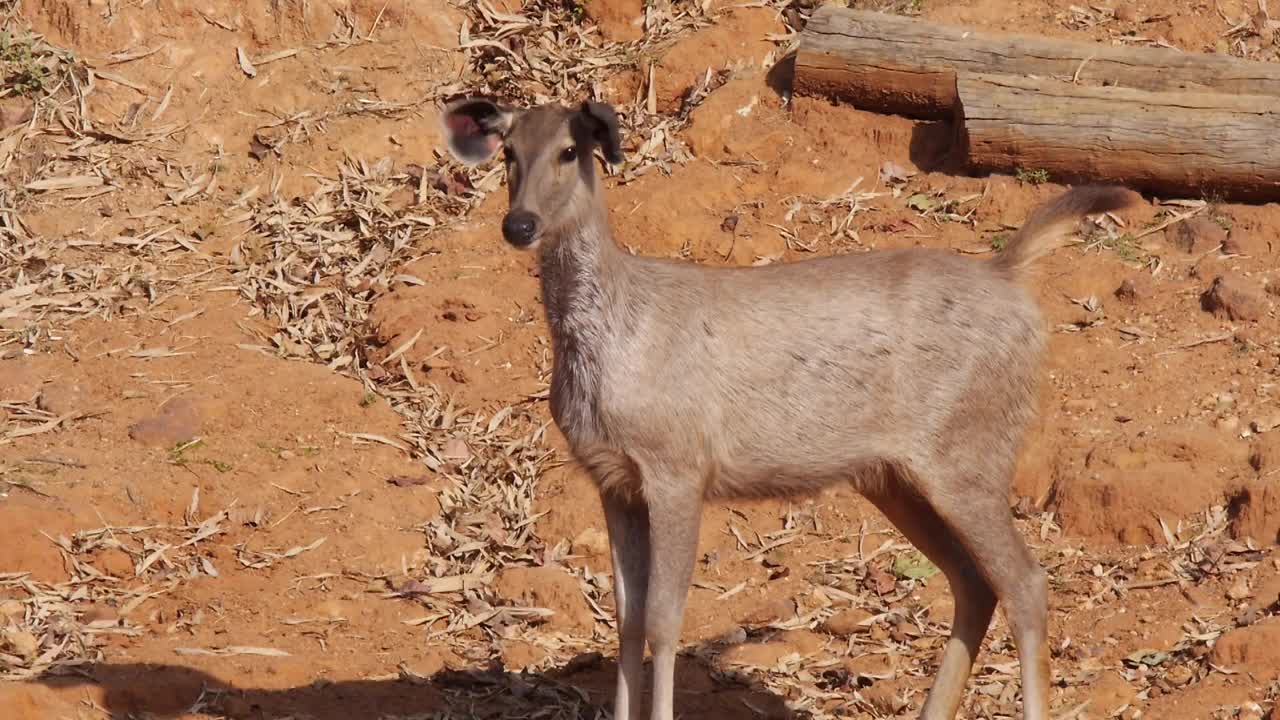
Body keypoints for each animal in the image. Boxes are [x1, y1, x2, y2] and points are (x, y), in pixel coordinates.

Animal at [442, 94, 1141, 717]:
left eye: (570, 151)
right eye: (508, 152)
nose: (519, 225)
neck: (614, 347)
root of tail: (1011, 277)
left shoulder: (678, 465)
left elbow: (664, 620)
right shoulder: (612, 478)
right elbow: (626, 619)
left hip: (969, 450)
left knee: (1025, 582)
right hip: (893, 475)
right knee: (974, 582)